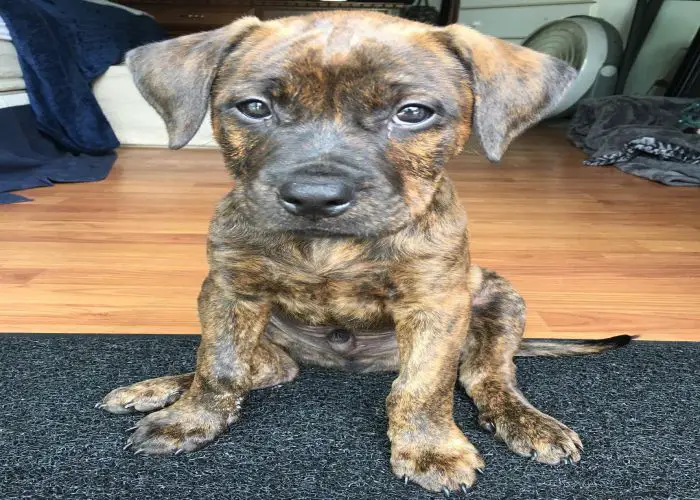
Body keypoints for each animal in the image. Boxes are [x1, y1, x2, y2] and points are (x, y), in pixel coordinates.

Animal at [100, 12, 636, 496]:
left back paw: (528, 421)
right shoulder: (231, 293)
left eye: (413, 113)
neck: (330, 246)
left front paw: (431, 450)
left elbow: (423, 387)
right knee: (263, 369)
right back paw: (157, 389)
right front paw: (189, 420)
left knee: (487, 375)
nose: (315, 197)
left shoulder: (434, 306)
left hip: (499, 298)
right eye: (254, 107)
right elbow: (219, 367)